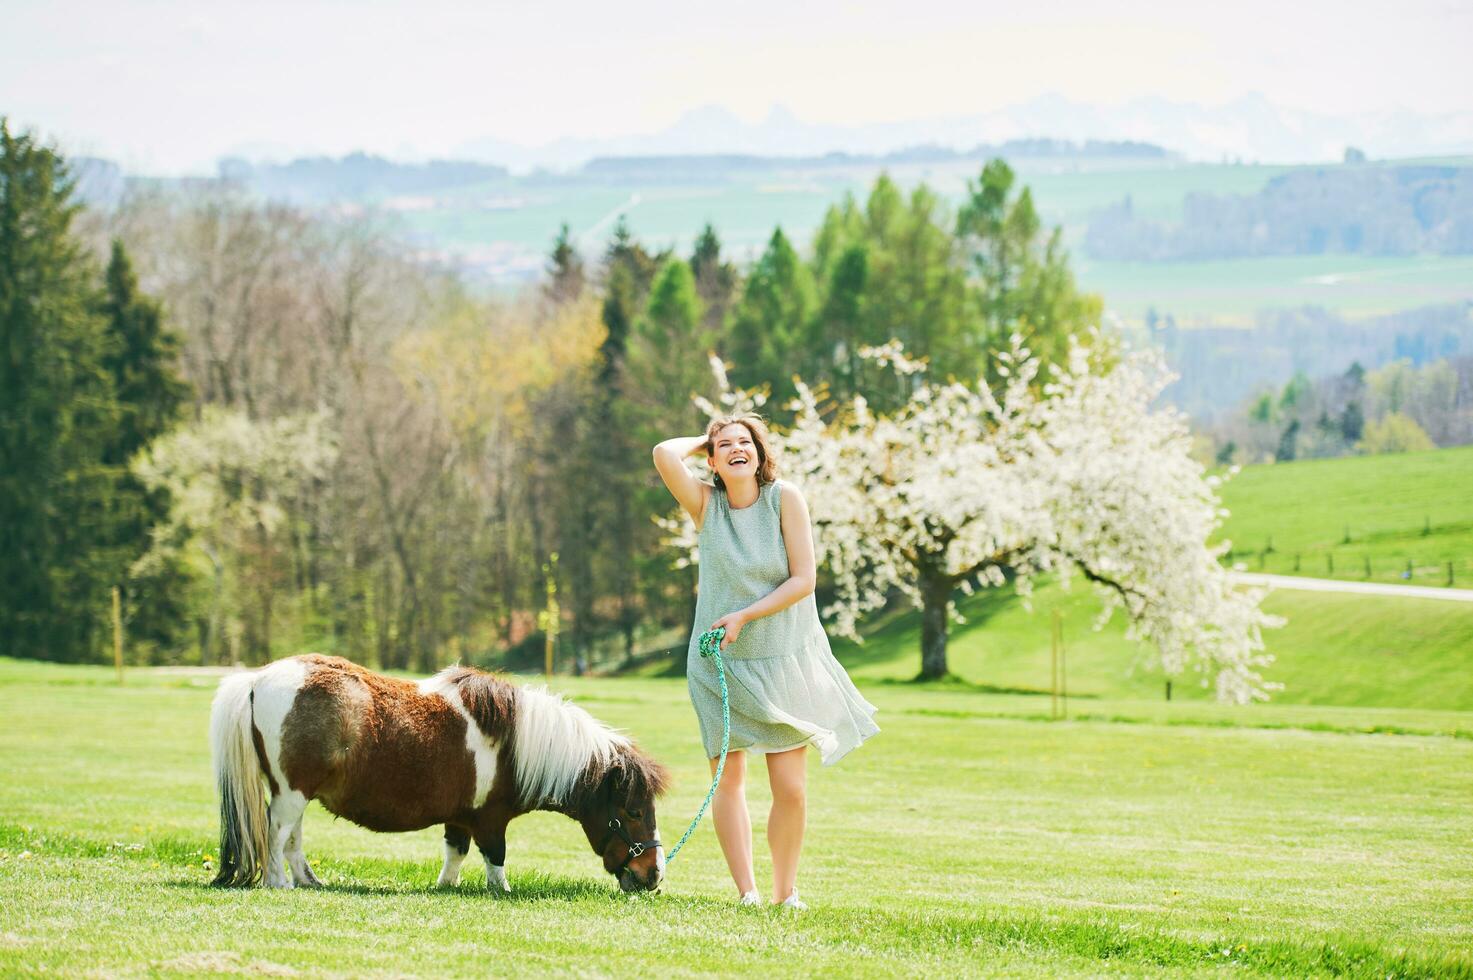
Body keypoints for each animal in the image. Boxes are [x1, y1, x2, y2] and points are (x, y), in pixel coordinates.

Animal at [206, 654, 668, 890]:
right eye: (634, 812)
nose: (653, 875)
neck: (516, 743)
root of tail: (257, 679)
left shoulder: (459, 818)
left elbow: (455, 853)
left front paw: (445, 887)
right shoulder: (490, 820)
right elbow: (495, 861)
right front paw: (501, 893)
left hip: (295, 794)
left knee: (291, 840)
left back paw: (309, 881)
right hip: (291, 793)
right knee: (276, 835)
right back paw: (278, 883)